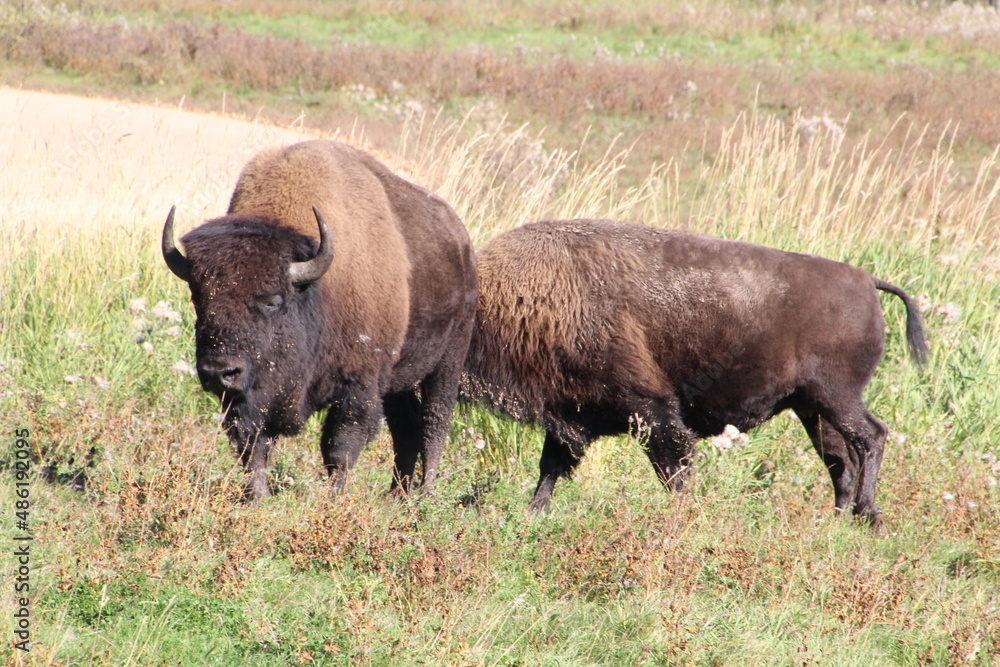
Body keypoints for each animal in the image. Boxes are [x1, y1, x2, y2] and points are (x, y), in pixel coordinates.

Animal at [162, 138, 478, 498]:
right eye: (198, 296)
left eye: (273, 301)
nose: (219, 373)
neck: (315, 288)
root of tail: (464, 244)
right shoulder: (247, 397)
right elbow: (252, 442)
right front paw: (258, 497)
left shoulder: (358, 386)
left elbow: (339, 447)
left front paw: (334, 499)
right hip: (398, 378)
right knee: (408, 427)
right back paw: (397, 496)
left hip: (448, 360)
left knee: (434, 423)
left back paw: (423, 494)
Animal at [464, 219, 924, 528]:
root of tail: (867, 280)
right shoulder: (567, 415)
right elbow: (551, 467)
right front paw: (533, 514)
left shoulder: (650, 409)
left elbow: (673, 469)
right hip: (812, 408)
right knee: (840, 459)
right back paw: (834, 520)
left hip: (837, 396)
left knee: (870, 437)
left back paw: (869, 516)